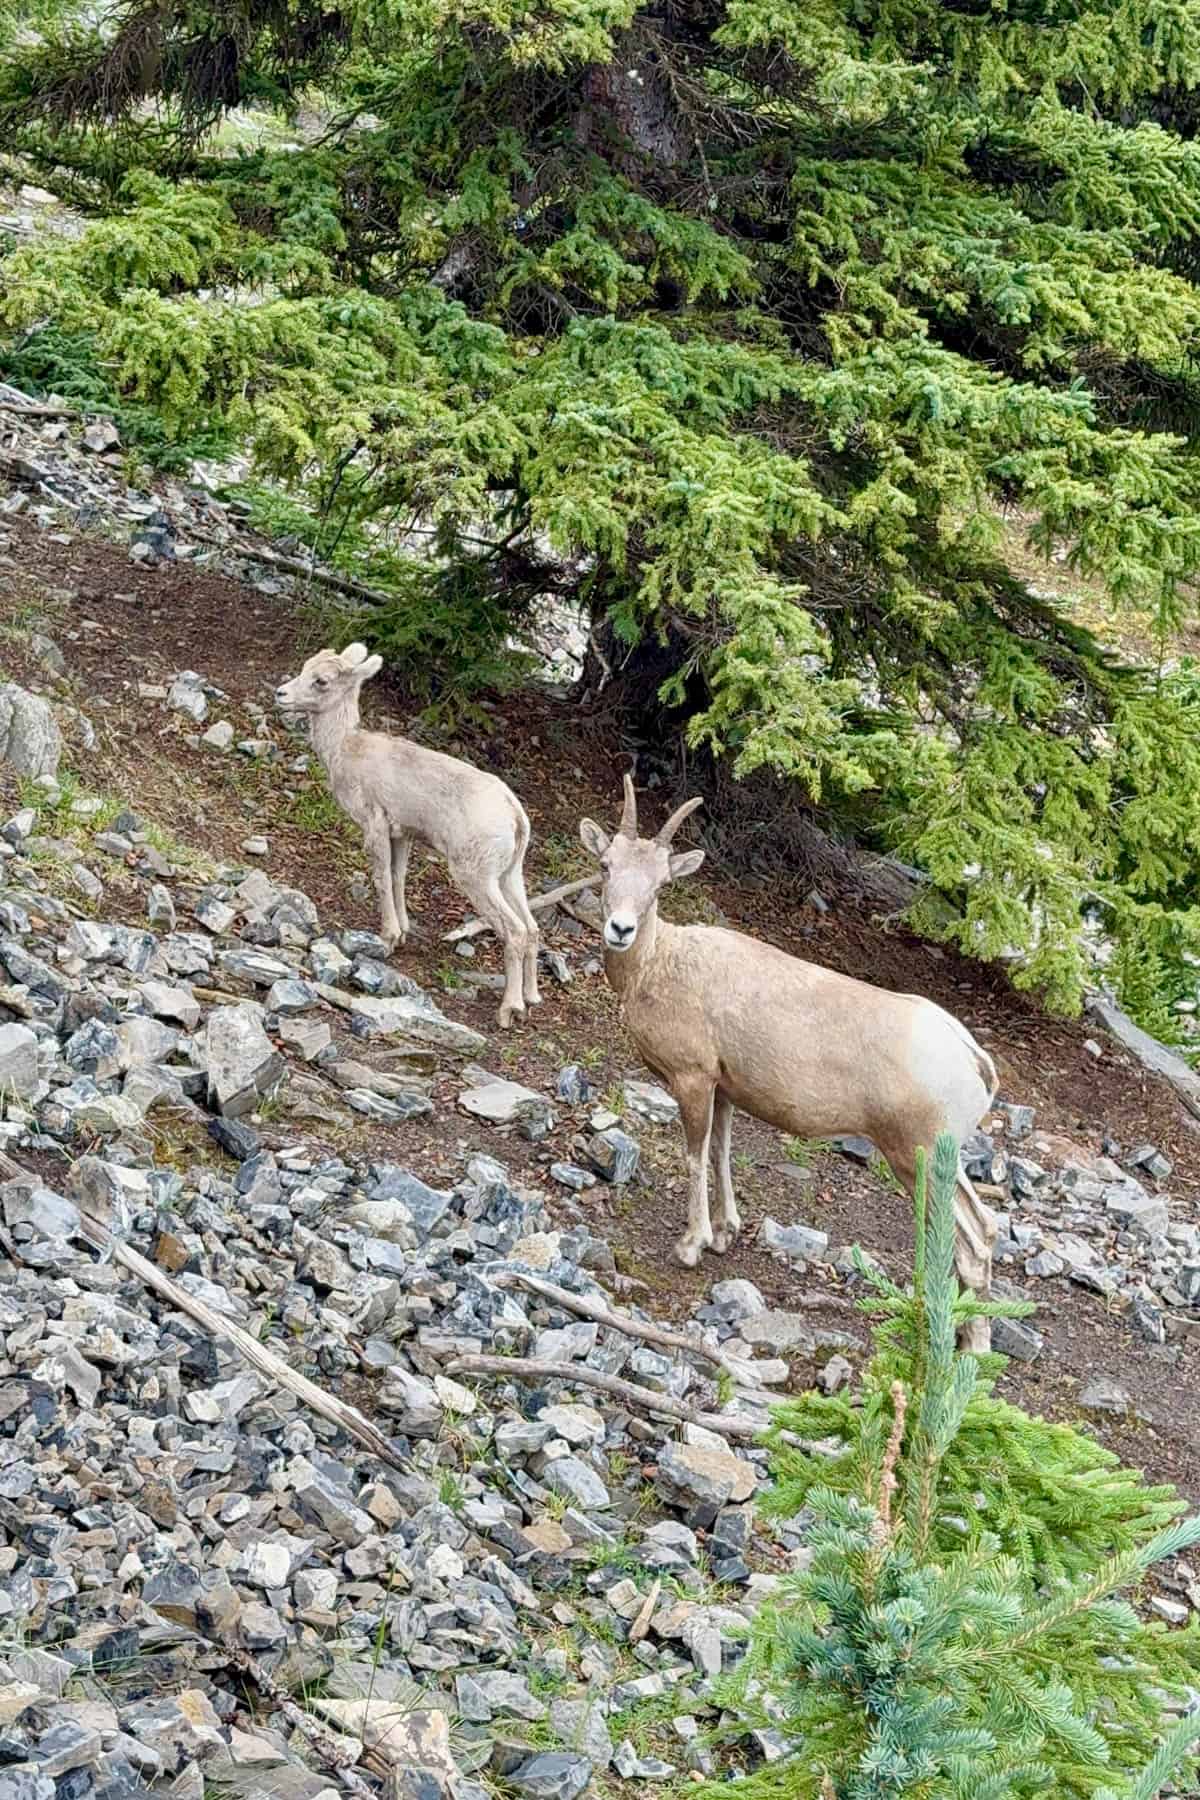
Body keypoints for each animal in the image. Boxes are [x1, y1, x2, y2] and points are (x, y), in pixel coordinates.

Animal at [275, 643, 540, 1028]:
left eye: (321, 680)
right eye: (305, 666)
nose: (281, 694)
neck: (345, 751)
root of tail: (516, 817)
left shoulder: (374, 822)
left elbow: (382, 877)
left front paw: (388, 937)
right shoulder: (403, 833)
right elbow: (399, 876)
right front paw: (402, 931)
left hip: (476, 874)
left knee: (515, 930)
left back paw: (509, 1009)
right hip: (509, 874)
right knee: (532, 928)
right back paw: (532, 998)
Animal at [579, 775, 1000, 1352]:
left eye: (661, 884)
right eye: (606, 866)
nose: (619, 929)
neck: (662, 964)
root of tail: (973, 1059)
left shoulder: (692, 1079)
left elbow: (695, 1154)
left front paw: (692, 1245)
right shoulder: (725, 1088)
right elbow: (722, 1151)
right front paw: (725, 1234)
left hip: (916, 1156)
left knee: (971, 1242)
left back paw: (968, 1347)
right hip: (942, 1158)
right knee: (985, 1229)